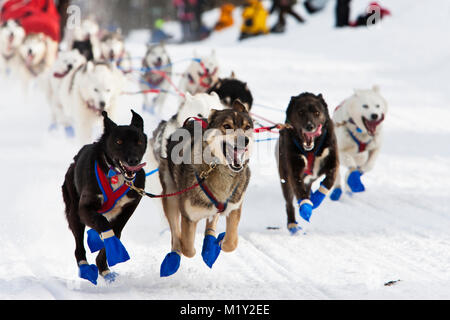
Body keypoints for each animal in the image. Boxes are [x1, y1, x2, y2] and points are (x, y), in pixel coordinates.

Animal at [62, 110, 148, 284]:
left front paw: (105, 262)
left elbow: (115, 231)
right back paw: (85, 267)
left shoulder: (130, 206)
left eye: (139, 142)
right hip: (74, 212)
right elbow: (103, 224)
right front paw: (109, 245)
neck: (116, 175)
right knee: (79, 245)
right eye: (119, 141)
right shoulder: (85, 208)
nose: (133, 160)